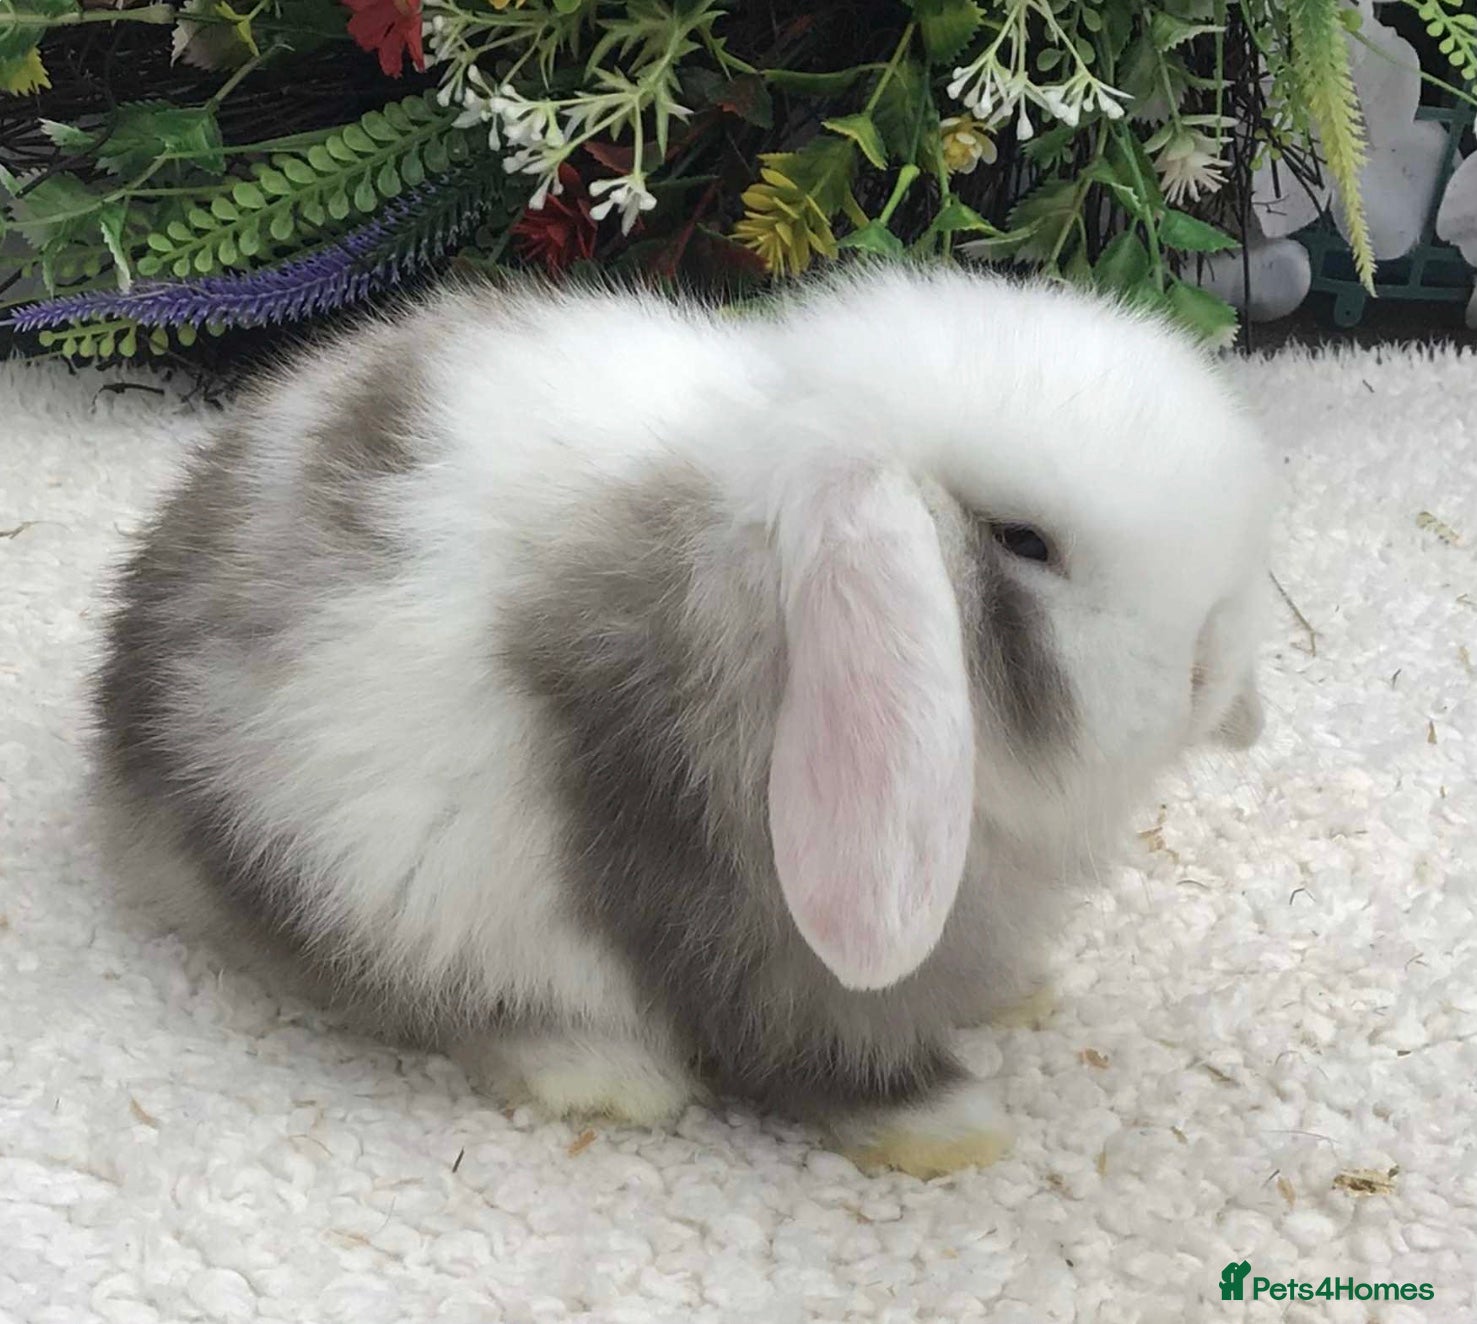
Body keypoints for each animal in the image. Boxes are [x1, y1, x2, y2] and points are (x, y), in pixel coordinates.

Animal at [91, 265, 1275, 1178]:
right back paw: (603, 1075)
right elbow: (807, 1037)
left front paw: (1017, 995)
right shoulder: (733, 905)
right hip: (367, 868)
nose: (1209, 665)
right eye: (1022, 540)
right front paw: (945, 1127)